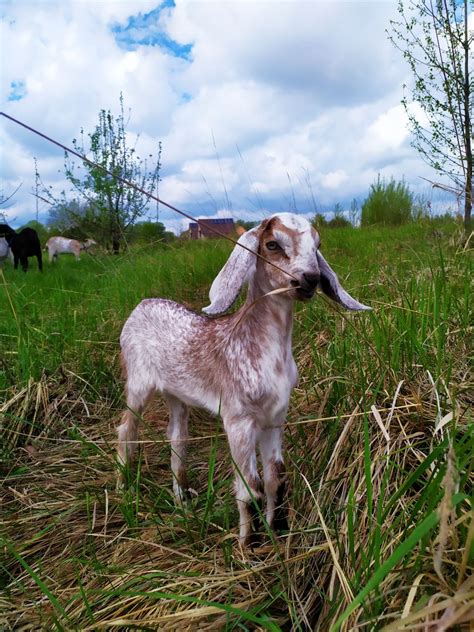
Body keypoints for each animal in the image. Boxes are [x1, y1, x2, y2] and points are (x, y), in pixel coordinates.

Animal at [117, 211, 370, 544]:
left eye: (317, 245)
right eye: (272, 244)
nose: (309, 279)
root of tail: (142, 304)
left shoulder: (275, 417)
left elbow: (277, 478)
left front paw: (276, 532)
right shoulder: (238, 420)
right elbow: (250, 487)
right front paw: (247, 544)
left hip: (176, 394)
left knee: (177, 438)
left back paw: (182, 499)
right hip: (138, 383)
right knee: (126, 429)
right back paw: (123, 487)